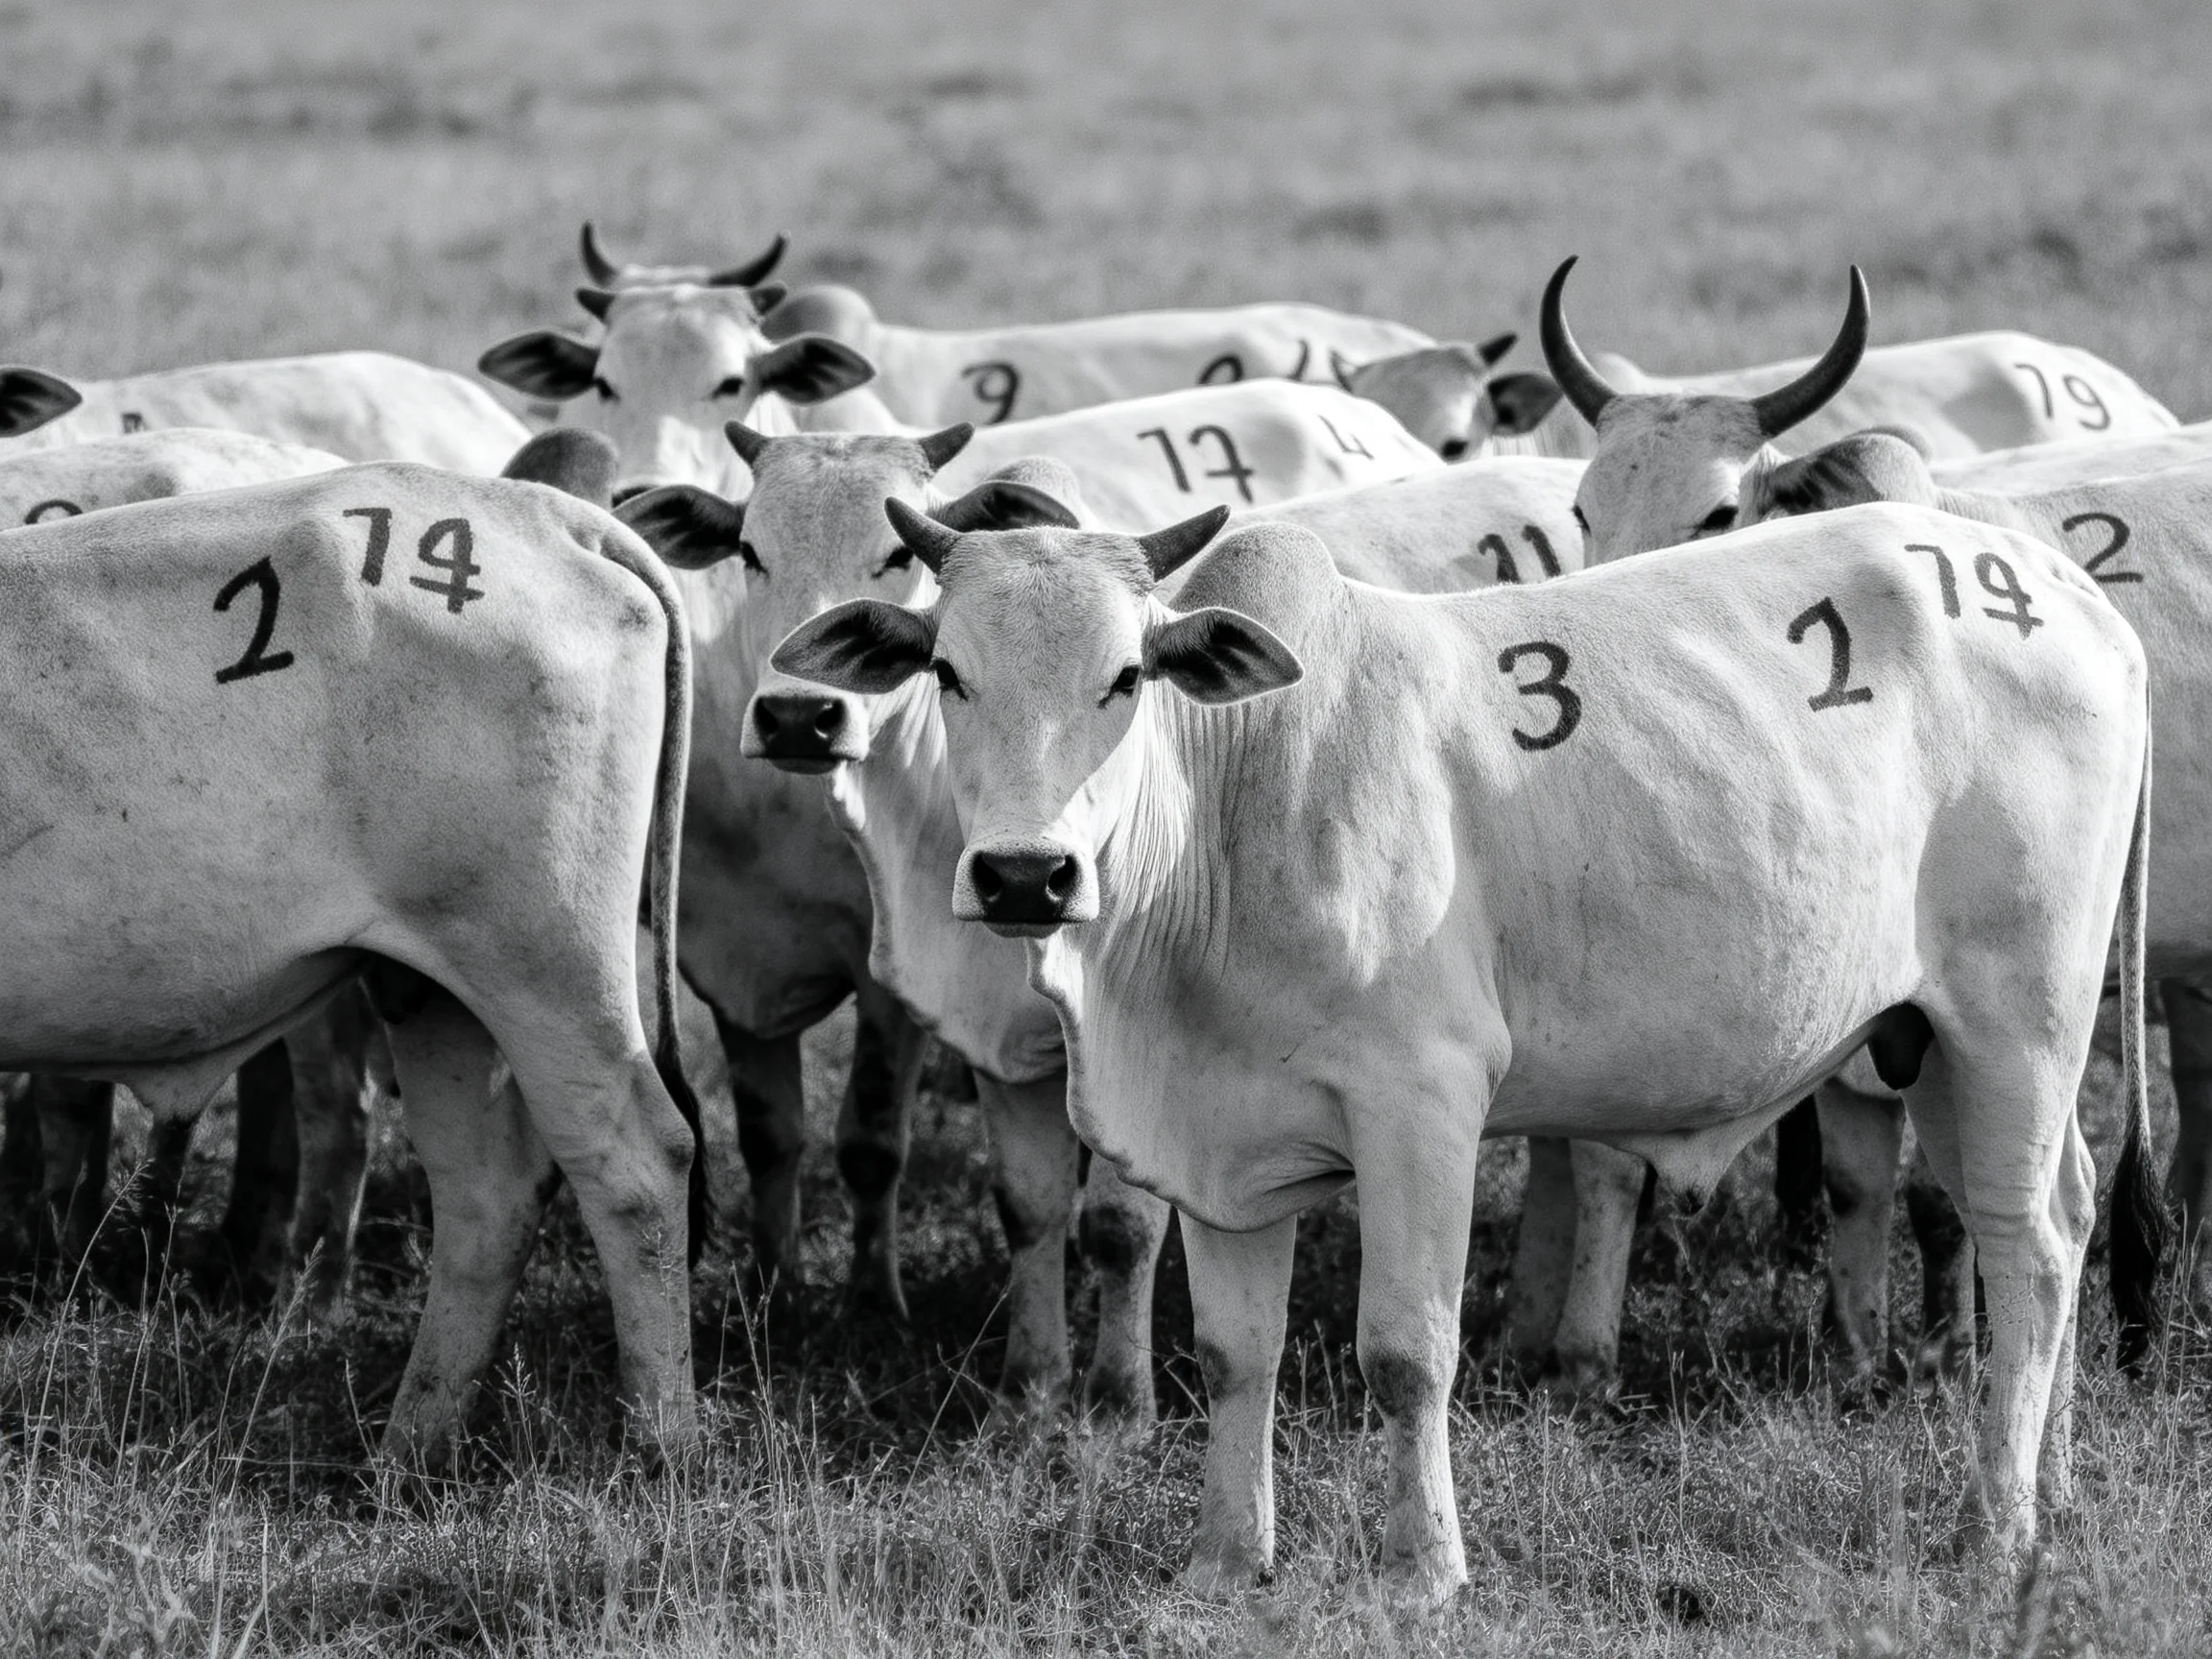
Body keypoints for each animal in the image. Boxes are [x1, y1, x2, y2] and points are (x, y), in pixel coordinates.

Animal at [0, 447, 701, 1463]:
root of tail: (549, 515)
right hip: (432, 985)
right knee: (487, 1193)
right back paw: (411, 1450)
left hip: (545, 961)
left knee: (638, 1167)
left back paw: (660, 1447)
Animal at [616, 436, 1583, 1416]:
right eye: (749, 552)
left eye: (1127, 679)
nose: (798, 717)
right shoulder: (995, 1035)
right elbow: (1023, 1204)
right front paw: (1030, 1385)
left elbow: (1118, 1222)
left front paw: (1121, 1398)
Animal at [764, 497, 2154, 1602]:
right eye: (948, 673)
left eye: (1124, 679)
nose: (1024, 875)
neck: (1231, 804)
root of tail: (2075, 599)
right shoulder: (1224, 1140)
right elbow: (1234, 1354)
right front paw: (1225, 1560)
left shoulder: (1420, 1105)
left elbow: (1404, 1351)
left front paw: (1425, 1567)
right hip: (1952, 1049)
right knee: (2064, 1215)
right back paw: (2059, 1488)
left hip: (2018, 1020)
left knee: (2027, 1249)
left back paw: (1997, 1527)